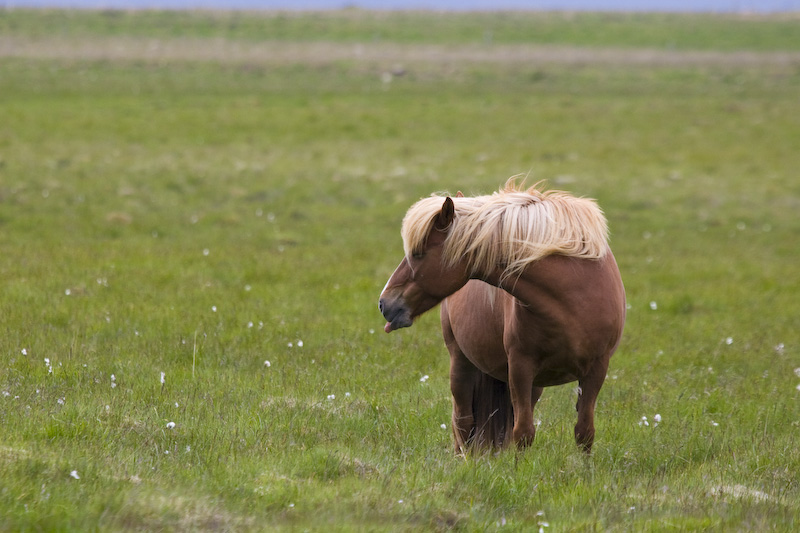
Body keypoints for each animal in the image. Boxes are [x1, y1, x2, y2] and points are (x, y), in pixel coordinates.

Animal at [380, 182, 624, 454]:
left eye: (419, 253)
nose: (384, 303)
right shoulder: (520, 367)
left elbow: (584, 432)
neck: (576, 293)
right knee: (463, 423)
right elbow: (523, 433)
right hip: (461, 363)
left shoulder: (596, 369)